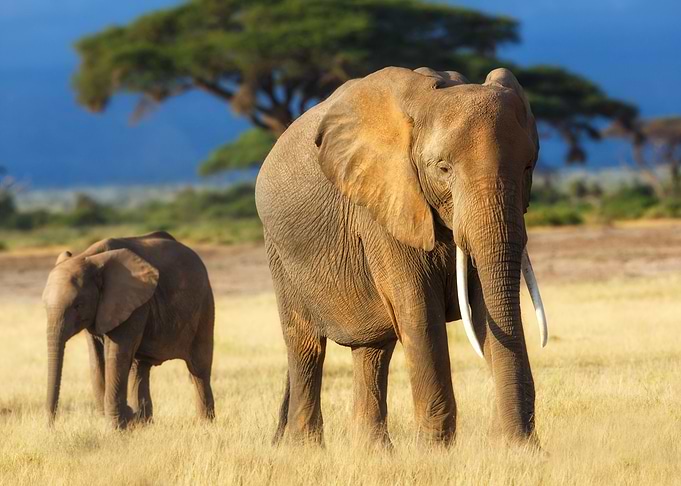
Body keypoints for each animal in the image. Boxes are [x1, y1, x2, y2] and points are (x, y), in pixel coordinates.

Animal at [42, 231, 215, 429]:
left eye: (78, 305)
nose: (50, 427)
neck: (89, 257)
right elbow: (96, 359)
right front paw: (123, 422)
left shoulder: (133, 304)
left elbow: (116, 355)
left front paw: (117, 429)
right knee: (139, 368)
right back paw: (144, 424)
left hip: (204, 305)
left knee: (198, 368)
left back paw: (205, 424)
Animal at [255, 66, 548, 447]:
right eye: (443, 168)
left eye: (529, 166)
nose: (519, 437)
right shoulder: (384, 202)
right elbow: (418, 310)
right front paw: (434, 452)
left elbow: (484, 304)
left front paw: (515, 448)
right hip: (279, 250)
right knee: (305, 345)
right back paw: (304, 448)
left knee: (372, 349)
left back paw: (372, 451)